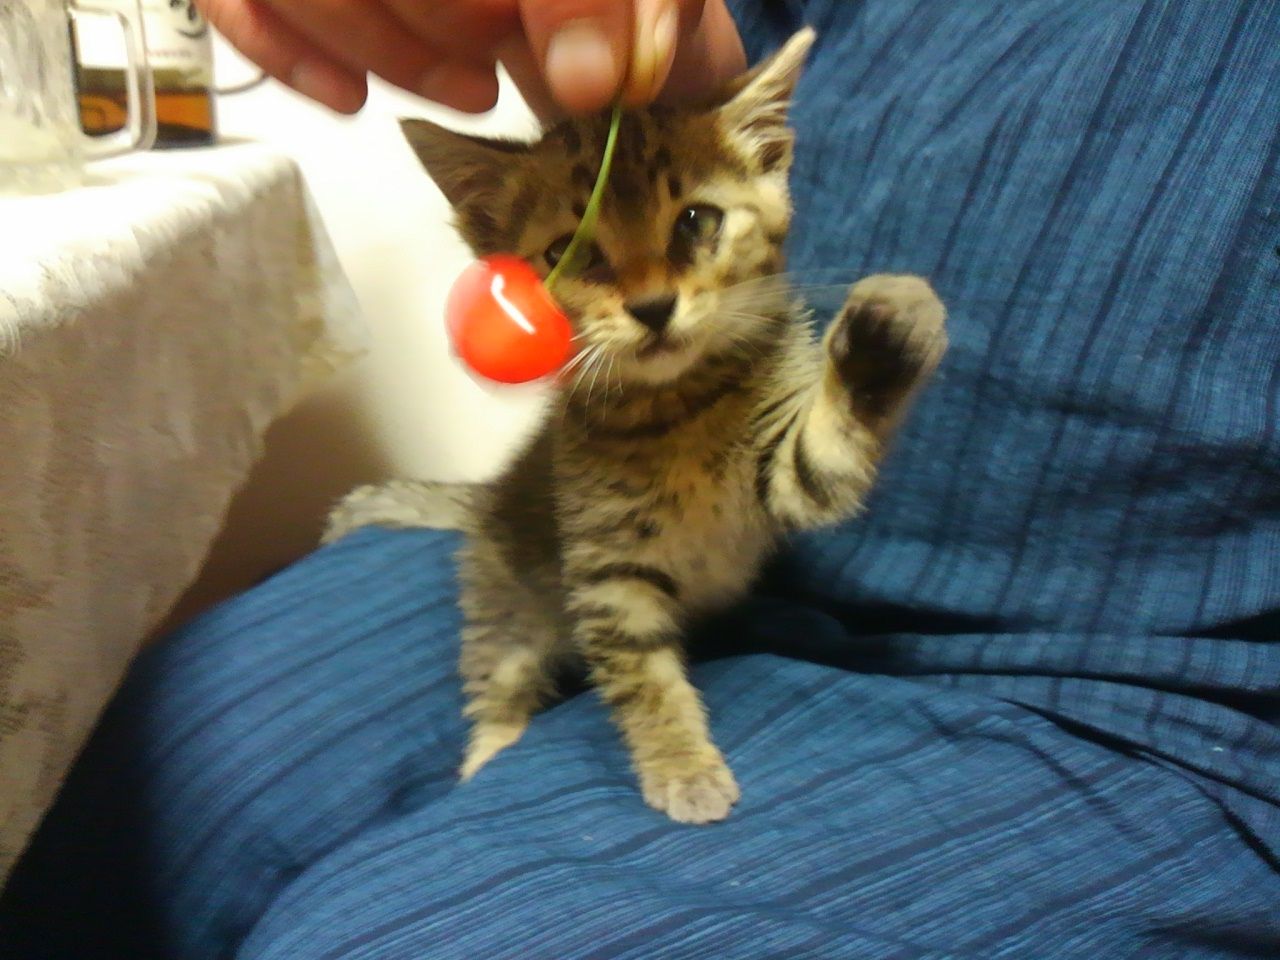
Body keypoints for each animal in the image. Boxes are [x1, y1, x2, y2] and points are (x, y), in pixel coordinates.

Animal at [324, 28, 946, 824]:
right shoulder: (606, 565)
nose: (653, 307)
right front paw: (682, 766)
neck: (675, 408)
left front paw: (885, 333)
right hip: (507, 605)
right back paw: (491, 753)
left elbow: (821, 462)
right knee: (498, 686)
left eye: (697, 222)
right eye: (569, 253)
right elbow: (641, 676)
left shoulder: (782, 471)